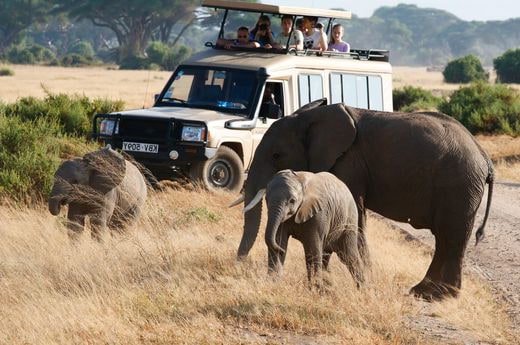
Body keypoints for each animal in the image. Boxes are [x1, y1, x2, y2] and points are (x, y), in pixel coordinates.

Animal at [234, 99, 494, 298]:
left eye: (276, 155)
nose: (241, 264)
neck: (309, 117)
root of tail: (484, 156)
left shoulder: (349, 163)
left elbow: (356, 217)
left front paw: (364, 276)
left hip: (459, 185)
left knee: (451, 237)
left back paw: (440, 297)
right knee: (445, 238)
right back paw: (423, 292)